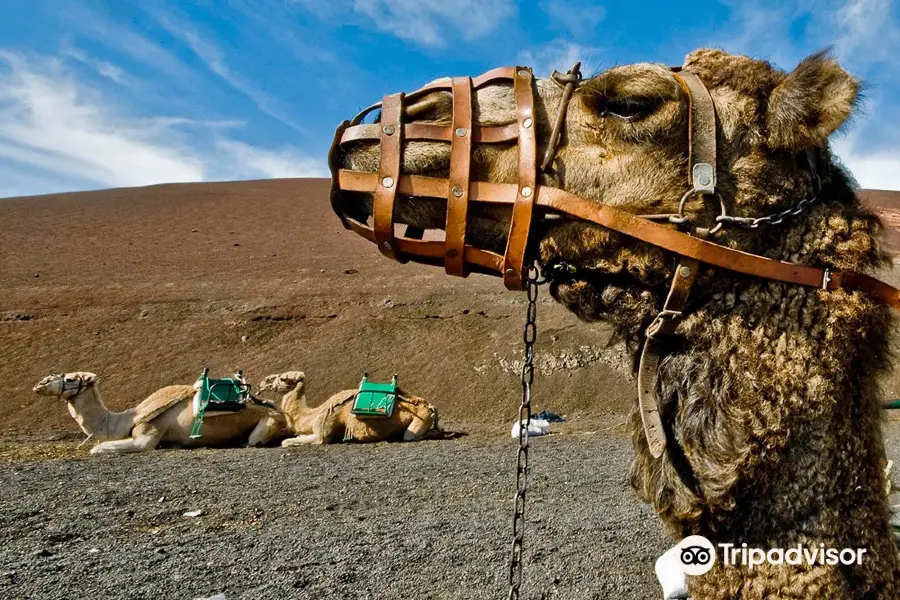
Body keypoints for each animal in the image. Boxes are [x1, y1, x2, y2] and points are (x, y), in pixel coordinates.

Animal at [33, 370, 286, 454]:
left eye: (70, 379)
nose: (40, 384)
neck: (128, 417)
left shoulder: (148, 433)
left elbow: (98, 448)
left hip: (266, 422)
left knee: (253, 439)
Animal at [258, 370, 442, 446]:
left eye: (283, 378)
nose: (262, 383)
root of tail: (431, 406)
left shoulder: (324, 433)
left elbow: (287, 442)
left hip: (420, 420)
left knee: (411, 436)